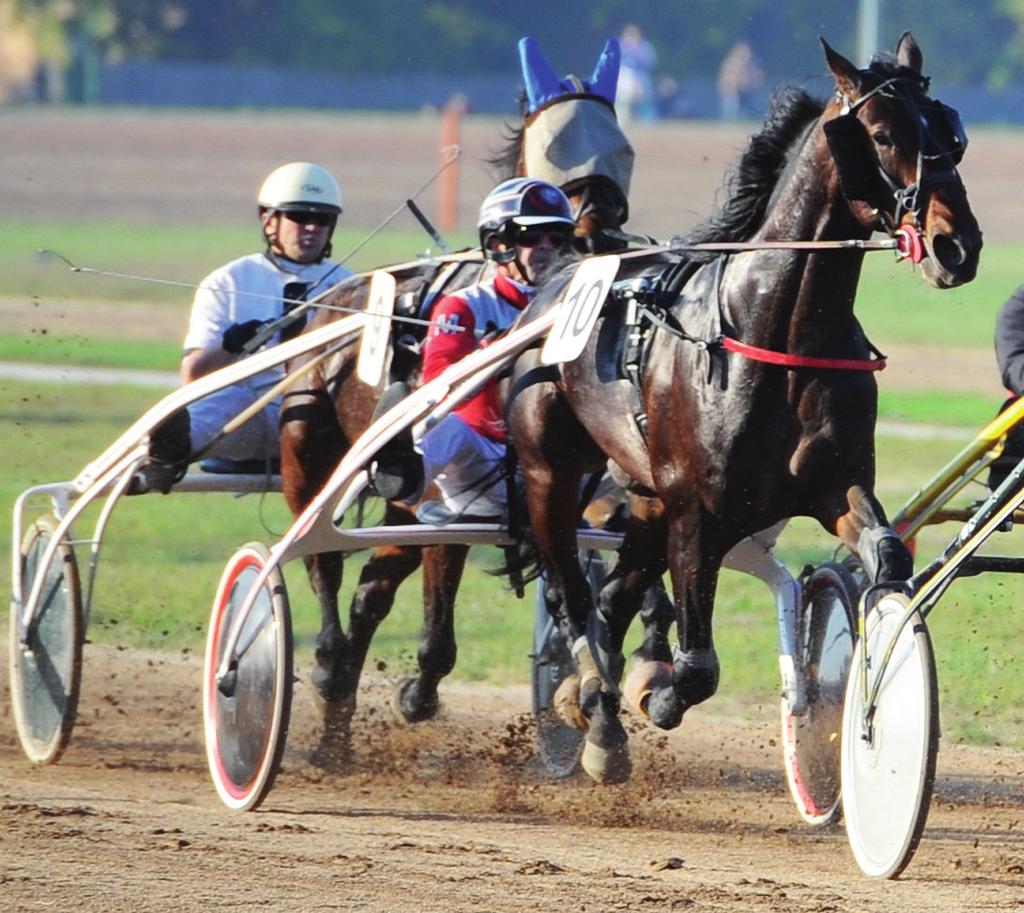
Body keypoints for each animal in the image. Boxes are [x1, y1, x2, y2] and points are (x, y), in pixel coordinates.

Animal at [276, 37, 651, 761]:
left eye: (623, 149)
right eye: (555, 145)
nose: (599, 228)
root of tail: (333, 298)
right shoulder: (460, 495)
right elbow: (435, 625)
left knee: (372, 586)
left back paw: (337, 718)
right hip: (309, 449)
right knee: (326, 561)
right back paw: (330, 660)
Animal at [507, 32, 978, 781]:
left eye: (950, 132)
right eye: (881, 134)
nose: (957, 245)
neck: (777, 330)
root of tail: (563, 272)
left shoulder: (833, 484)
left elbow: (885, 556)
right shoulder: (698, 511)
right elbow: (697, 665)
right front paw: (659, 691)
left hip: (645, 494)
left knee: (611, 597)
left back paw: (600, 712)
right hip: (552, 472)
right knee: (572, 594)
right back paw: (592, 703)